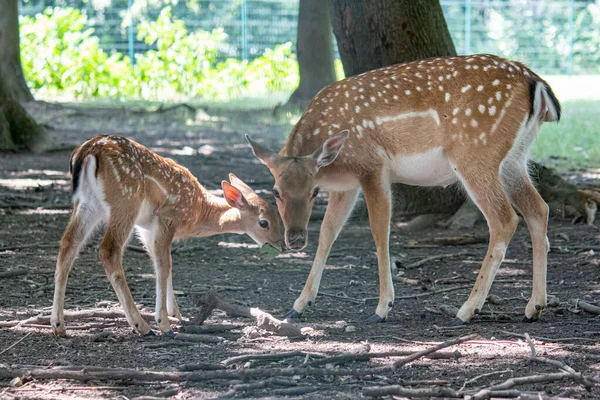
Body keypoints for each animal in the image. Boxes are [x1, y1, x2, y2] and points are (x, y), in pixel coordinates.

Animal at [50, 136, 282, 336]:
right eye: (264, 222)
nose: (280, 245)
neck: (197, 211)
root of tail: (88, 152)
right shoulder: (167, 218)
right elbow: (164, 265)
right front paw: (164, 322)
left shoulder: (146, 228)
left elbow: (162, 263)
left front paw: (176, 313)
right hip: (125, 200)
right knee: (108, 250)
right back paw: (142, 326)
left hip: (88, 203)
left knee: (68, 243)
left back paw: (58, 324)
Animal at [246, 54, 560, 324]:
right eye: (276, 191)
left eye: (313, 192)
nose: (296, 239)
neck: (333, 166)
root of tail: (536, 83)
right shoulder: (346, 186)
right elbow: (328, 233)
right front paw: (299, 304)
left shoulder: (373, 167)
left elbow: (379, 232)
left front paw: (382, 308)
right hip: (515, 158)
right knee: (539, 209)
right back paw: (534, 306)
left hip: (475, 153)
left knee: (505, 218)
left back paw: (466, 310)